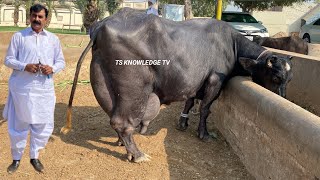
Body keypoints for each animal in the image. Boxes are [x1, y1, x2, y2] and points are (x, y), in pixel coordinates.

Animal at [61, 7, 294, 163]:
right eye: (276, 78)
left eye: (289, 79)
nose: (282, 97)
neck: (231, 44)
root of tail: (102, 25)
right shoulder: (214, 81)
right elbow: (205, 109)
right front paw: (204, 134)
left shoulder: (194, 82)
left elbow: (189, 102)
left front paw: (182, 123)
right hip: (133, 88)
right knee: (121, 121)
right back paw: (137, 154)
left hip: (104, 83)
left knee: (114, 115)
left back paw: (123, 145)